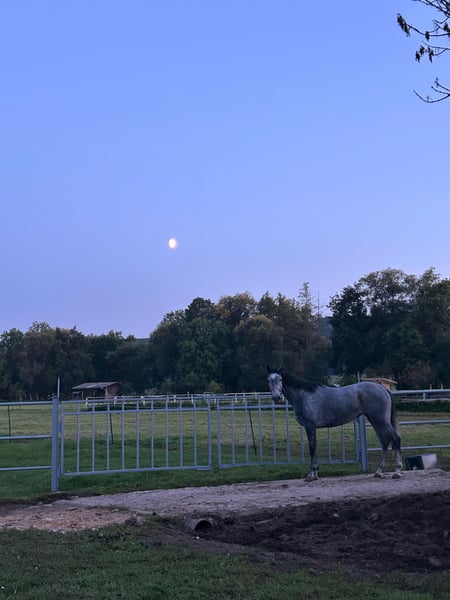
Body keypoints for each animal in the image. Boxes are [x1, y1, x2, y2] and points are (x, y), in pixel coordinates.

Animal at [267, 367, 402, 482]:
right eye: (268, 380)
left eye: (280, 379)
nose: (276, 397)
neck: (305, 396)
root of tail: (383, 389)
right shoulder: (312, 428)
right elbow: (314, 448)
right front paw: (316, 474)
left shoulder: (310, 427)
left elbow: (312, 448)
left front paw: (311, 475)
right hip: (375, 421)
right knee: (385, 441)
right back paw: (378, 472)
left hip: (381, 420)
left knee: (395, 439)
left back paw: (397, 472)